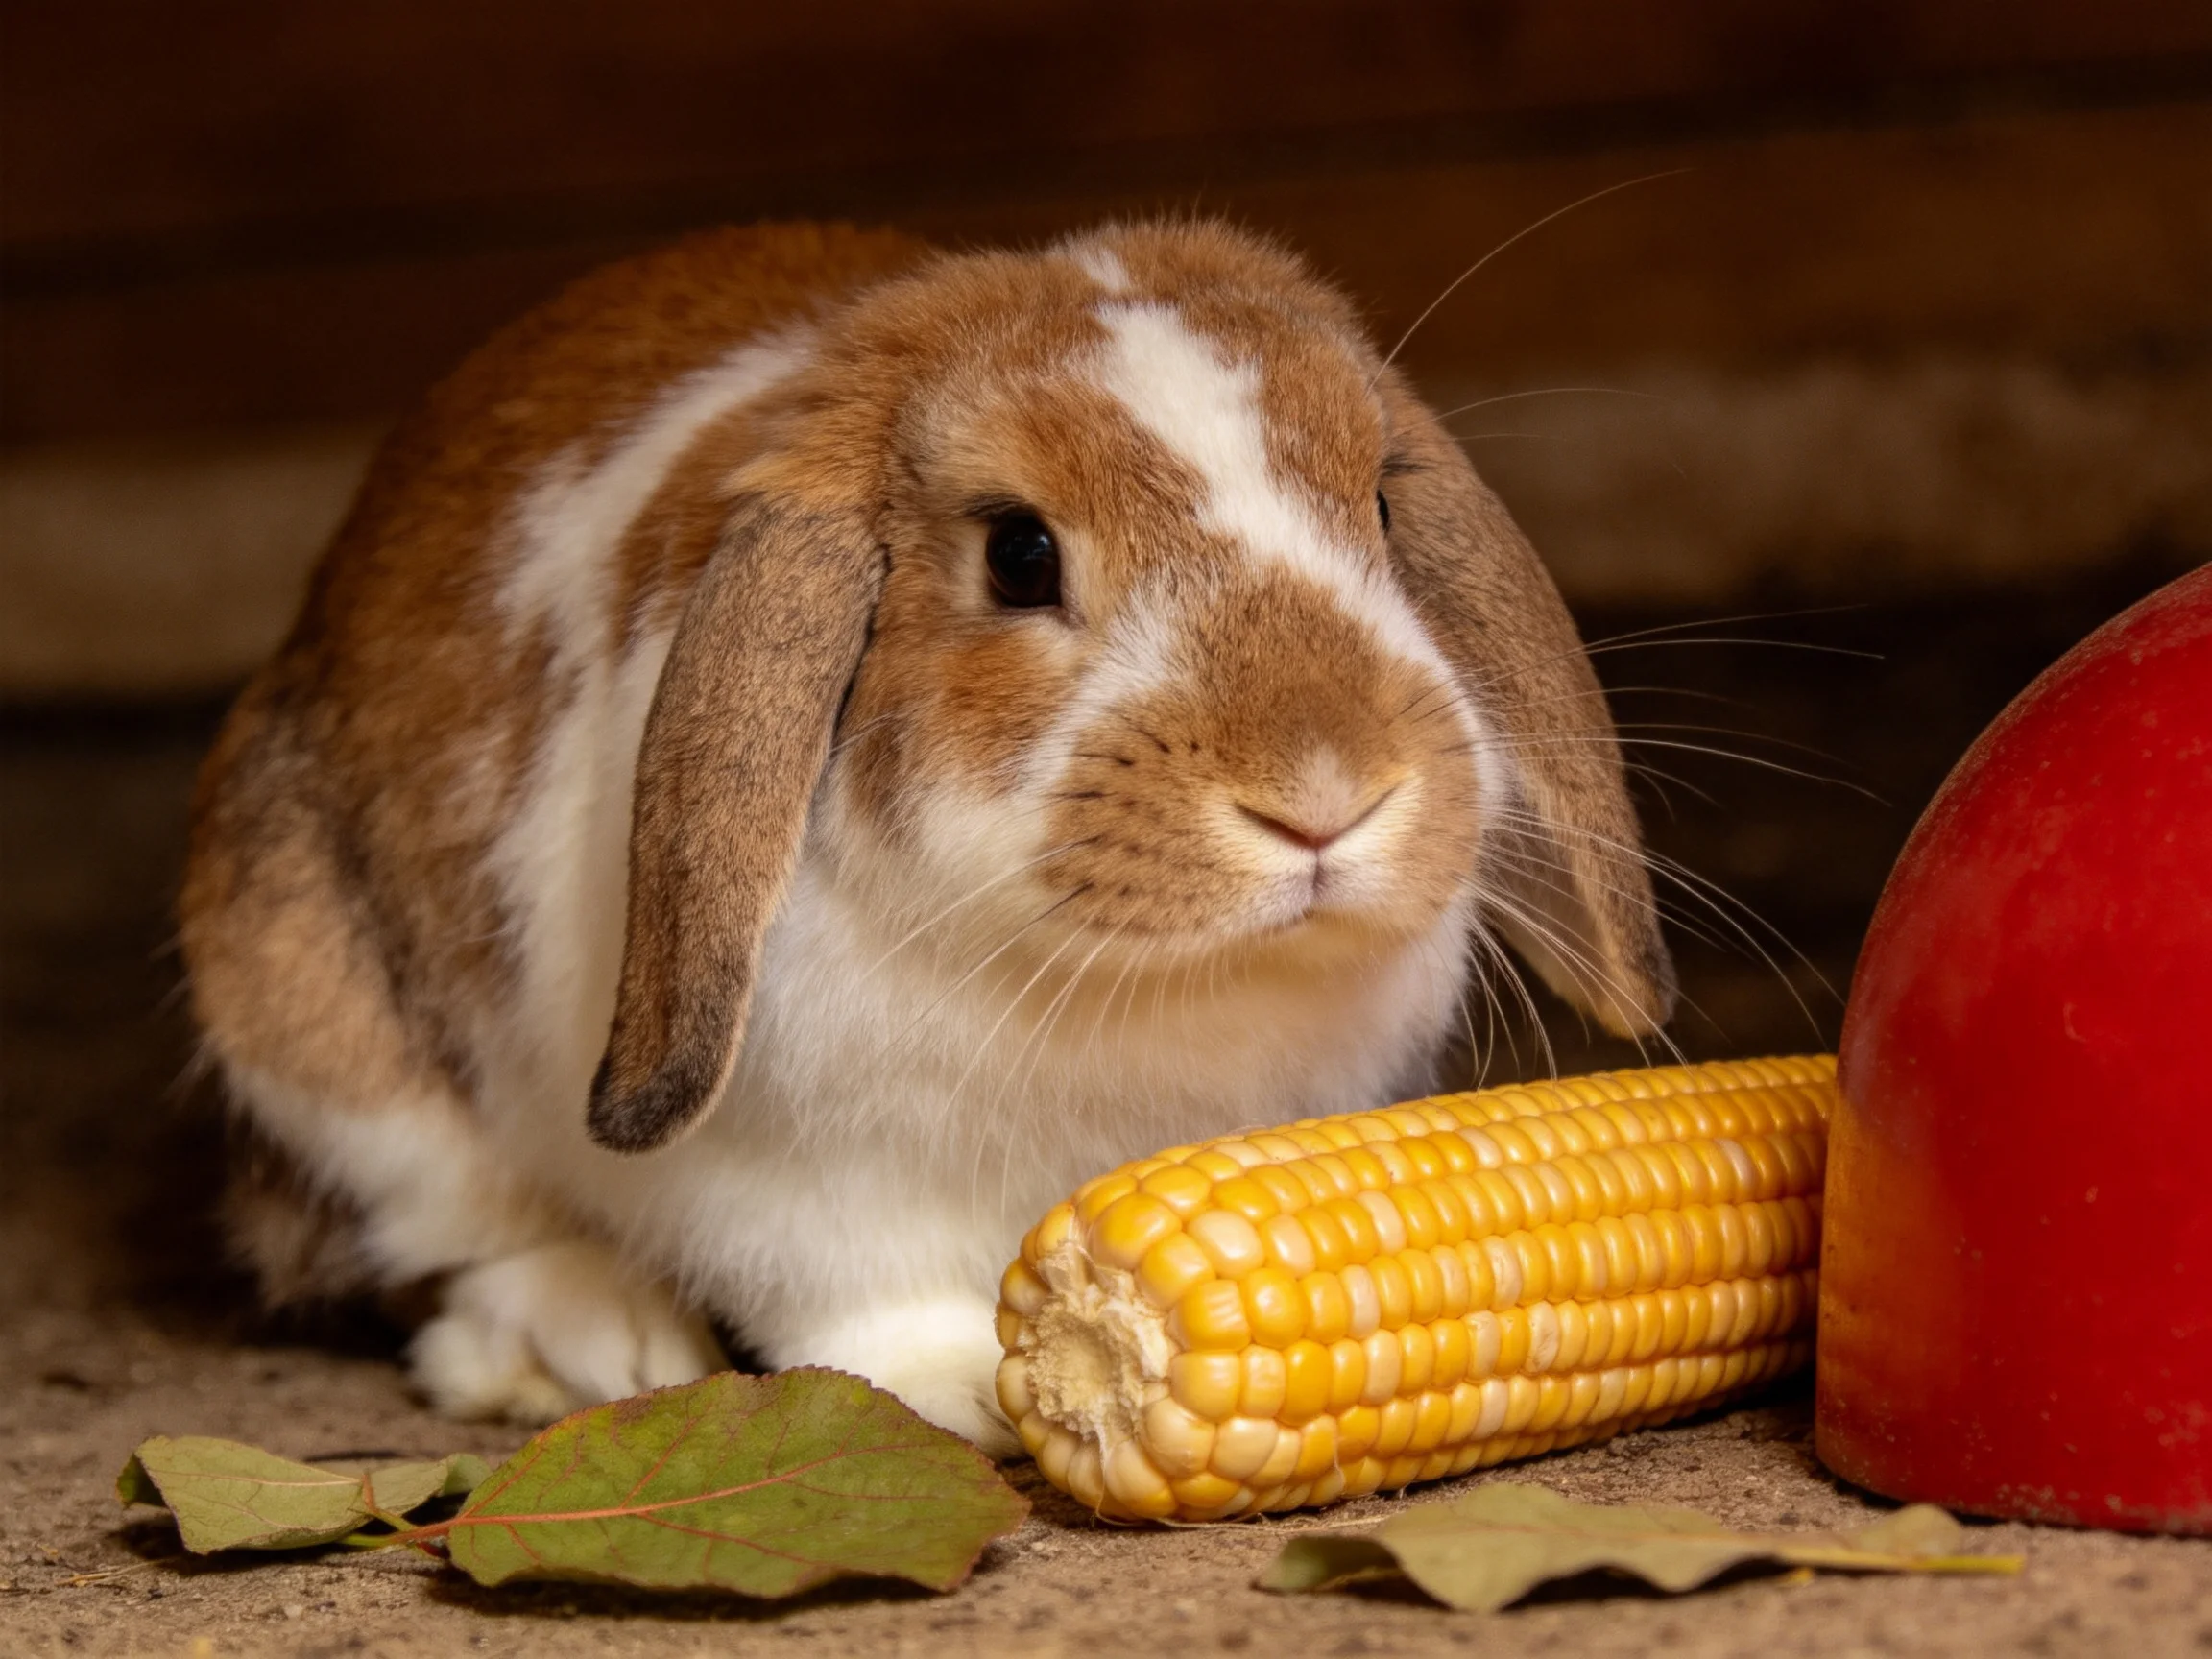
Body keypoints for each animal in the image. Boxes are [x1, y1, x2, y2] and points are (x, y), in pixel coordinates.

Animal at [180, 219, 1675, 1451]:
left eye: (1378, 504)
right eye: (1019, 554)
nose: (1324, 791)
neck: (1147, 981)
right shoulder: (797, 1186)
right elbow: (856, 1296)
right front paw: (987, 1384)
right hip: (312, 1019)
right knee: (450, 1234)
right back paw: (593, 1341)